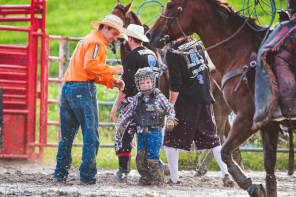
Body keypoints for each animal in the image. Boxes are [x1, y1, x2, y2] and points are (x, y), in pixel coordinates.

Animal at [148, 0, 294, 197]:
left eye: (170, 6)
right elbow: (268, 167)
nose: (150, 34)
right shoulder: (267, 123)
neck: (241, 50)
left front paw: (248, 183)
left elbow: (225, 150)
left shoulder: (246, 117)